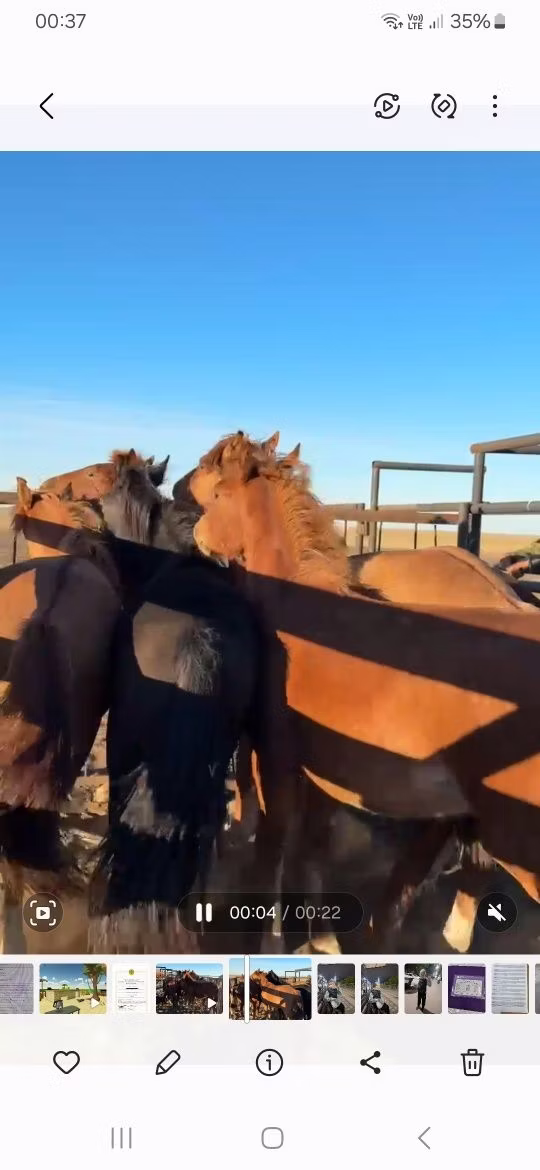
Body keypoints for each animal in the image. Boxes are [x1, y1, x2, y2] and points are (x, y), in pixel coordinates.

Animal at [189, 431, 540, 953]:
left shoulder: (277, 761)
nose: (195, 535)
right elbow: (310, 846)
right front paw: (320, 936)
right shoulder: (325, 772)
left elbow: (271, 848)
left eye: (215, 492)